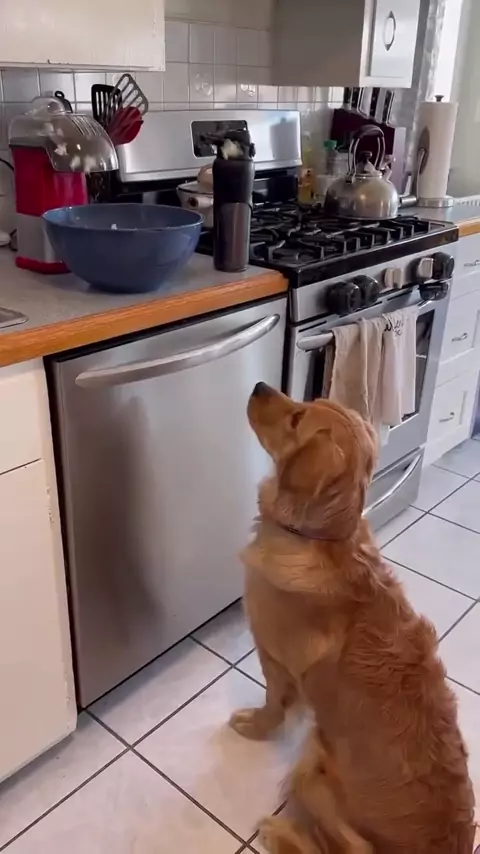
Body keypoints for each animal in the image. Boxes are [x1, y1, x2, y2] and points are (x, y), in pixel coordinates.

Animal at [230, 383, 475, 854]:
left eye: (296, 419)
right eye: (307, 403)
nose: (258, 387)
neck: (321, 537)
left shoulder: (273, 656)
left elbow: (273, 703)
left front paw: (253, 725)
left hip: (311, 768)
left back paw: (279, 832)